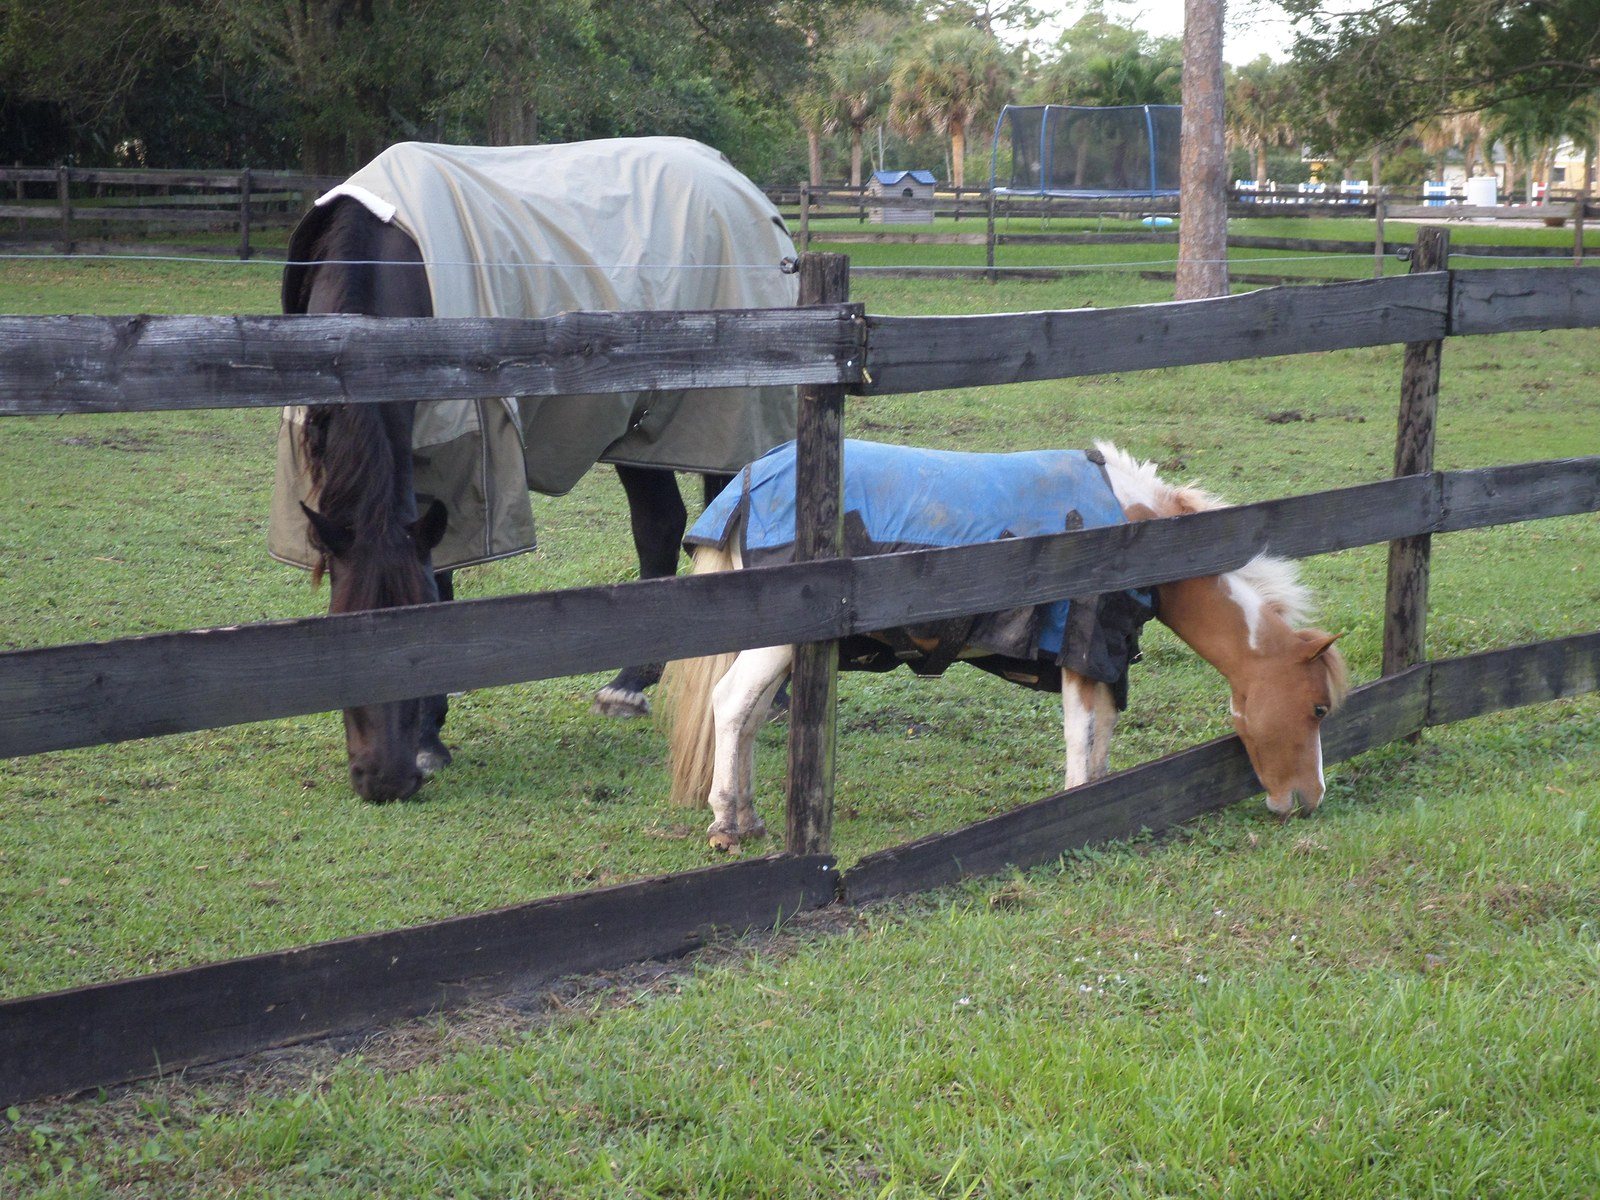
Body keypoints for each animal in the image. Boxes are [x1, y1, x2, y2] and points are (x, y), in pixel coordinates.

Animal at [273, 139, 798, 803]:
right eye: (341, 627)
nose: (385, 780)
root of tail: (740, 186)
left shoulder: (467, 456)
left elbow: (443, 577)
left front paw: (428, 737)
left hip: (728, 413)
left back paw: (768, 693)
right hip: (638, 420)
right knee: (659, 524)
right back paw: (630, 682)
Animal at [662, 440, 1349, 850]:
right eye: (1318, 708)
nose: (1309, 801)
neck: (1134, 527)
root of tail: (750, 480)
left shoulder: (1106, 660)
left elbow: (1100, 739)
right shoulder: (1081, 653)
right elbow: (1081, 739)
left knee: (750, 717)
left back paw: (746, 816)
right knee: (731, 704)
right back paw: (725, 824)